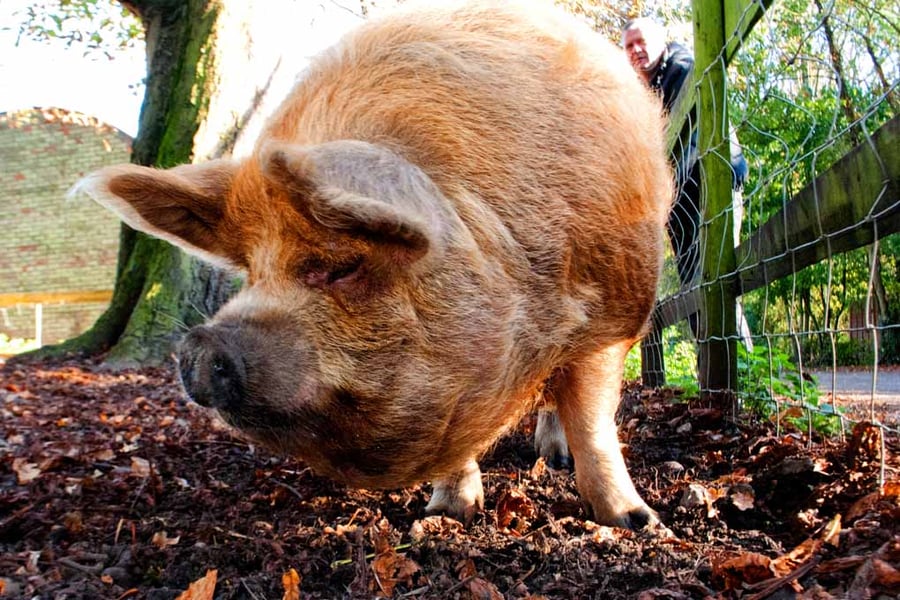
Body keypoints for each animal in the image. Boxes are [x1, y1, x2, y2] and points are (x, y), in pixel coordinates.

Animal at [75, 0, 673, 529]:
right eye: (251, 270)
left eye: (342, 266)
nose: (201, 343)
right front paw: (445, 515)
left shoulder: (613, 316)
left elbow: (593, 423)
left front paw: (636, 523)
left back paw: (563, 462)